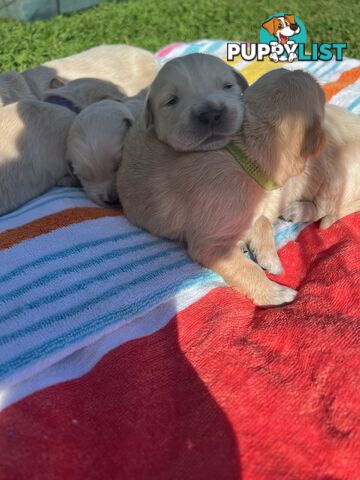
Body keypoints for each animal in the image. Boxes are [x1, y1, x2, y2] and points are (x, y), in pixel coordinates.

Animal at [116, 53, 324, 308]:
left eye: (228, 87)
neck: (245, 154)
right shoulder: (210, 243)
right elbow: (247, 269)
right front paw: (275, 293)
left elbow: (262, 222)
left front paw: (269, 257)